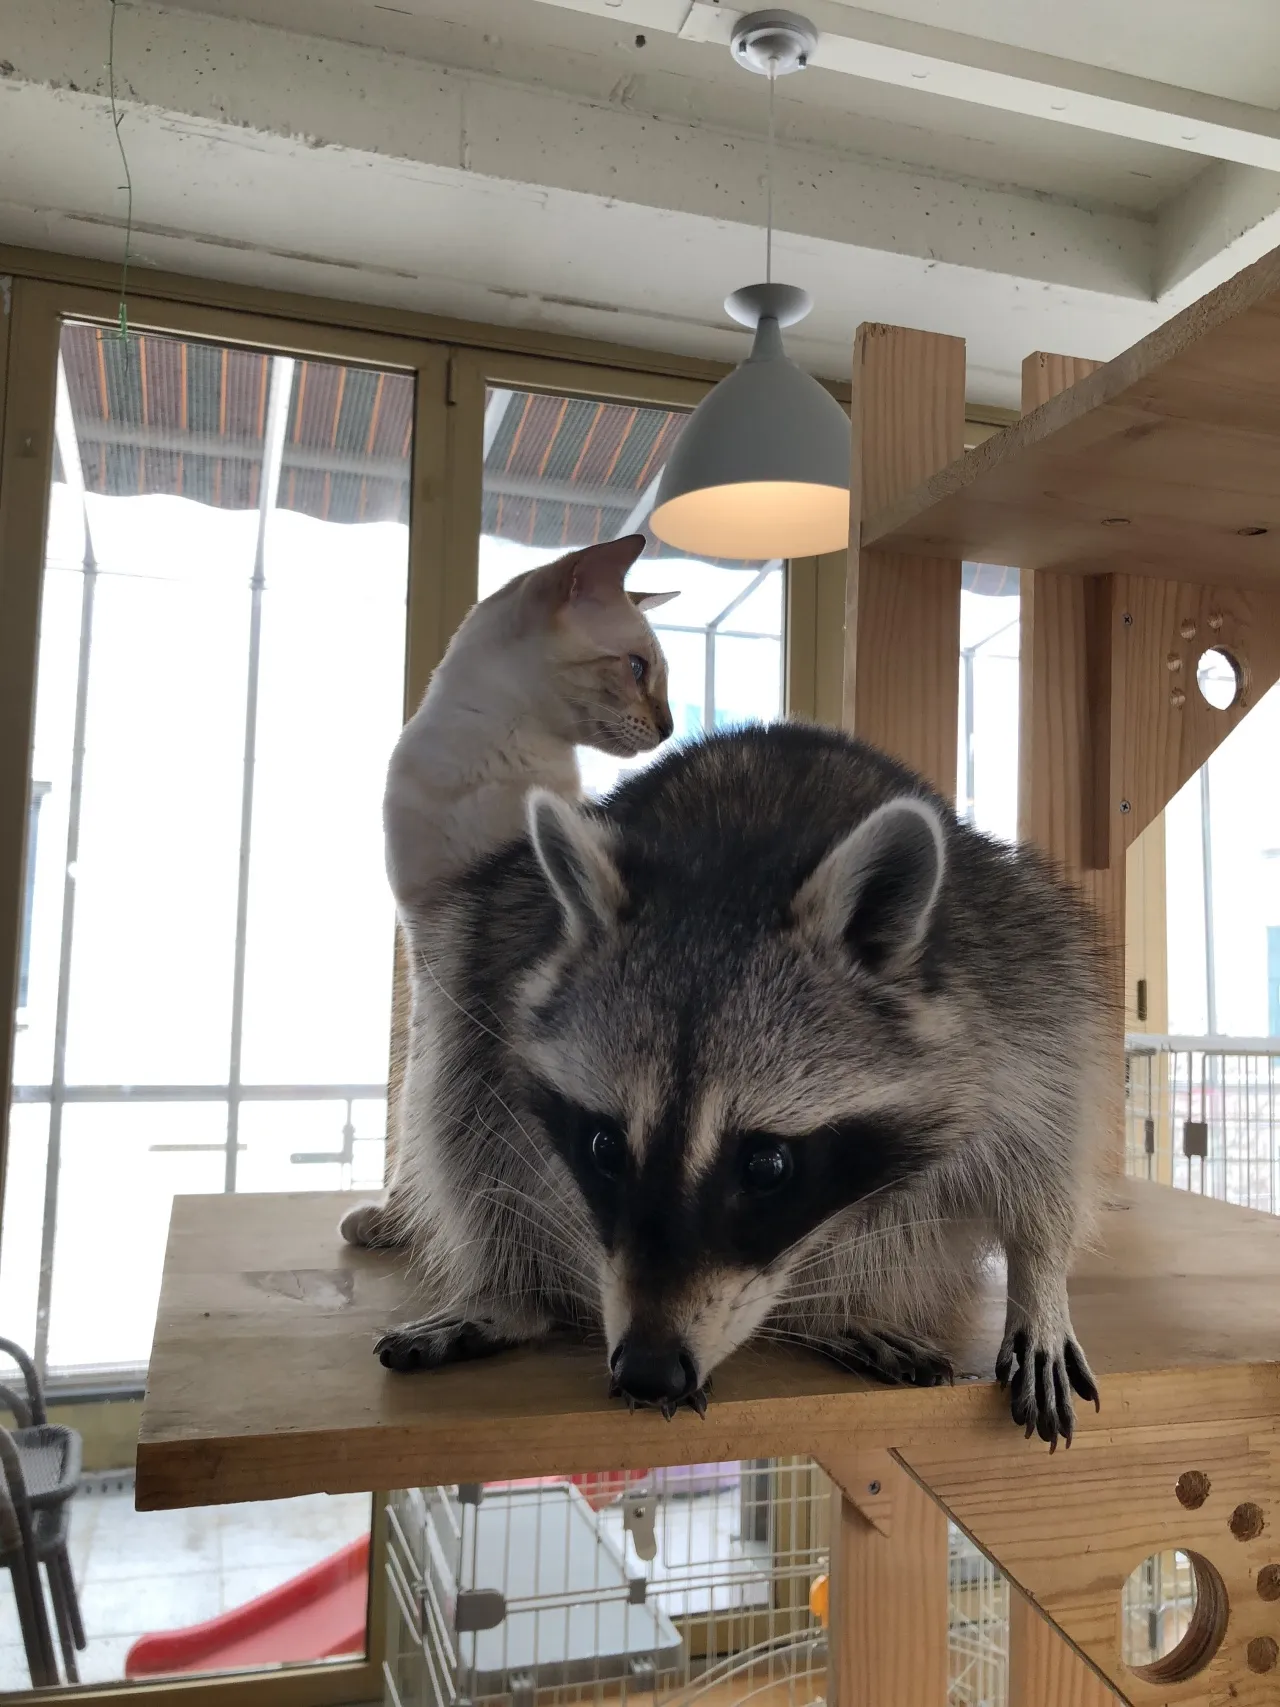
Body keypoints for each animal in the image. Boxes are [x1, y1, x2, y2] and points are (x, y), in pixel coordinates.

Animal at [341, 525, 682, 1249]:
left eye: (655, 674)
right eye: (637, 668)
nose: (669, 727)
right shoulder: (430, 950)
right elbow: (419, 1099)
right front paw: (397, 1219)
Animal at [384, 720, 1112, 1454]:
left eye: (768, 1165)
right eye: (604, 1147)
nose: (648, 1369)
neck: (739, 864)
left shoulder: (1018, 989)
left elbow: (1046, 1146)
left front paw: (1040, 1283)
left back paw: (838, 1310)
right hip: (493, 934)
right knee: (462, 1099)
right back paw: (513, 1295)